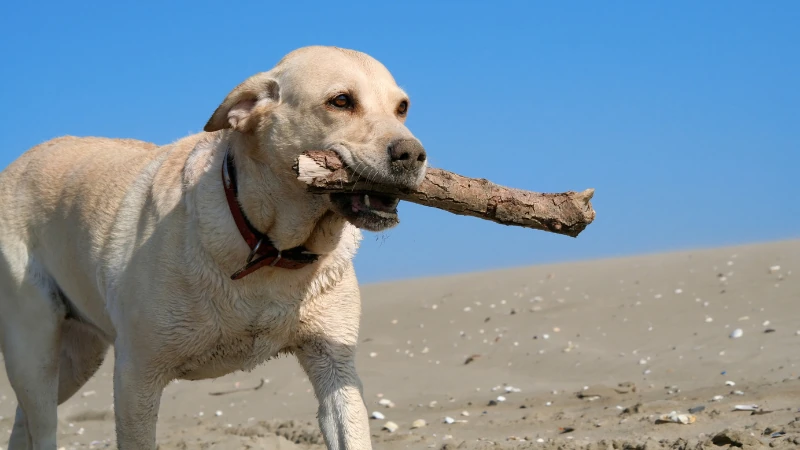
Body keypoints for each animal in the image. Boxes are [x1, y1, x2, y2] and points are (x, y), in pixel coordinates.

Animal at [0, 45, 424, 450]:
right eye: (341, 101)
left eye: (402, 107)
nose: (414, 155)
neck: (269, 248)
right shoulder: (137, 375)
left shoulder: (334, 364)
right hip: (33, 347)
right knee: (41, 425)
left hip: (79, 357)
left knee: (23, 422)